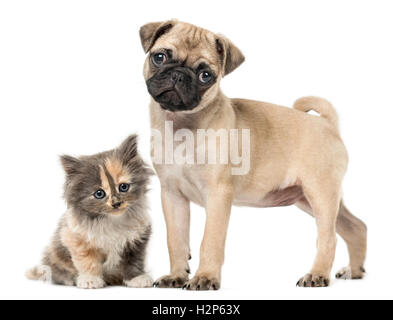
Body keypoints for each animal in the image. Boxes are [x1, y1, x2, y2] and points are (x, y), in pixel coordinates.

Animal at [26, 135, 154, 290]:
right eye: (99, 193)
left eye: (123, 187)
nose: (116, 203)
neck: (111, 219)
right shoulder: (76, 239)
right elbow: (88, 261)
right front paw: (90, 280)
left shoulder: (138, 239)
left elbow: (134, 261)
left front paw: (137, 278)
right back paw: (69, 279)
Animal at [139, 20, 366, 290]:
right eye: (159, 57)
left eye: (206, 76)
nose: (178, 74)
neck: (181, 124)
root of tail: (327, 124)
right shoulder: (173, 196)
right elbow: (176, 240)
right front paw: (176, 275)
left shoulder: (218, 195)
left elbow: (210, 241)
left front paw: (205, 277)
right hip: (311, 198)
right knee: (355, 226)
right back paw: (355, 270)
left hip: (320, 193)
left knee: (328, 238)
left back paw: (317, 274)